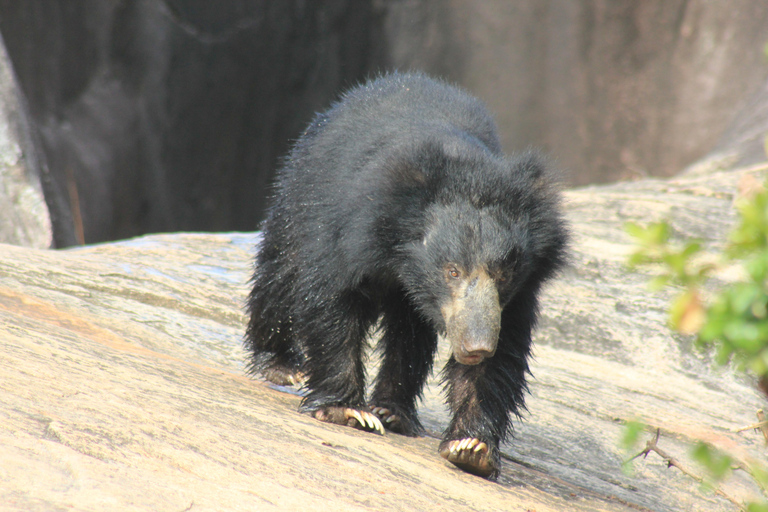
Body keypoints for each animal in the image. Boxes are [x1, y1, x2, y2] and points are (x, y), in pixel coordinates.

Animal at [243, 72, 568, 480]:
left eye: (504, 274)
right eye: (452, 271)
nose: (476, 347)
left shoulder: (516, 296)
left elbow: (502, 352)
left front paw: (471, 447)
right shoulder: (350, 229)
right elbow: (332, 300)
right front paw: (347, 410)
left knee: (409, 335)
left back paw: (394, 412)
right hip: (300, 193)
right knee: (282, 273)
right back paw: (281, 365)